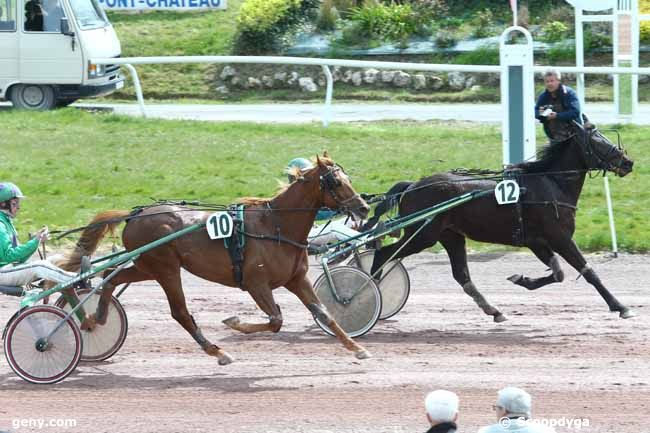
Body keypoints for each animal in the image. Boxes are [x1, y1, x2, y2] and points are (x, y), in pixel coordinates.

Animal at [60, 154, 370, 362]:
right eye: (335, 182)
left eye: (348, 179)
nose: (364, 207)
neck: (275, 226)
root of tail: (135, 214)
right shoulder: (256, 283)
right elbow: (275, 320)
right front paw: (234, 323)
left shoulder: (296, 279)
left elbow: (324, 314)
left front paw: (357, 348)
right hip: (165, 268)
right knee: (180, 312)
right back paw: (217, 351)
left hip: (147, 265)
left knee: (110, 278)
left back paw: (95, 317)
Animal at [370, 123, 632, 318]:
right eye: (598, 141)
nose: (628, 162)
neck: (550, 184)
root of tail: (412, 185)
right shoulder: (560, 238)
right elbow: (588, 271)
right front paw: (620, 306)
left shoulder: (537, 241)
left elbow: (558, 274)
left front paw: (522, 280)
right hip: (422, 236)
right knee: (383, 254)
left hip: (450, 236)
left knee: (461, 275)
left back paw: (494, 310)